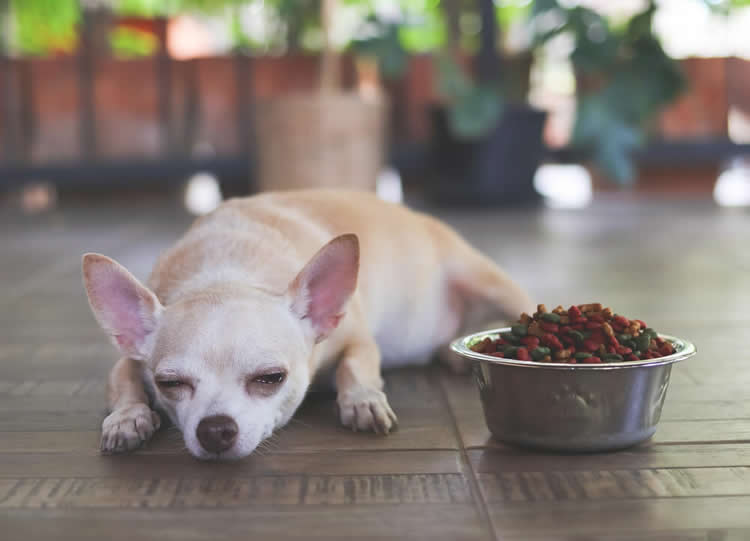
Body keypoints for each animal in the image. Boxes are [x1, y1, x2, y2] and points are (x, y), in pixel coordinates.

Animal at [83, 188, 536, 458]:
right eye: (169, 383)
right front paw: (127, 418)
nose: (215, 429)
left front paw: (362, 401)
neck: (225, 274)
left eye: (271, 378)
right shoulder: (129, 359)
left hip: (483, 277)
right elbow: (122, 380)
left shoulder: (356, 338)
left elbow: (355, 366)